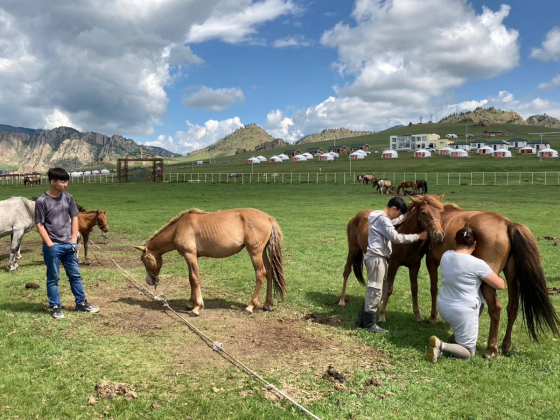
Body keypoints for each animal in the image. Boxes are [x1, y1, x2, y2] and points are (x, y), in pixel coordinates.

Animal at [134, 207, 286, 316]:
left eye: (143, 260)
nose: (149, 281)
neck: (178, 228)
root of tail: (268, 217)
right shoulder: (190, 257)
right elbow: (191, 279)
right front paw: (190, 303)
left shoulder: (190, 255)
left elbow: (195, 279)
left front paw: (197, 307)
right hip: (262, 251)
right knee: (269, 272)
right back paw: (267, 304)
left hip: (255, 252)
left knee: (260, 274)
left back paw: (251, 306)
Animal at [376, 203, 560, 358]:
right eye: (424, 213)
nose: (438, 235)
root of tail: (508, 224)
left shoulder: (431, 261)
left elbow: (434, 289)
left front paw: (433, 317)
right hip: (512, 276)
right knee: (512, 307)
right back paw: (505, 346)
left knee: (496, 308)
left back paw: (491, 349)